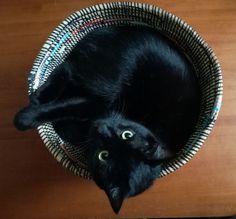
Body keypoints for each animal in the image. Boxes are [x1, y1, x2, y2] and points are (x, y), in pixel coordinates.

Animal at [13, 25, 200, 212]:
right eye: (127, 134)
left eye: (104, 156)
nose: (103, 129)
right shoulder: (98, 105)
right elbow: (64, 107)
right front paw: (24, 118)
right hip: (110, 81)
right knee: (67, 68)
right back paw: (40, 96)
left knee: (70, 71)